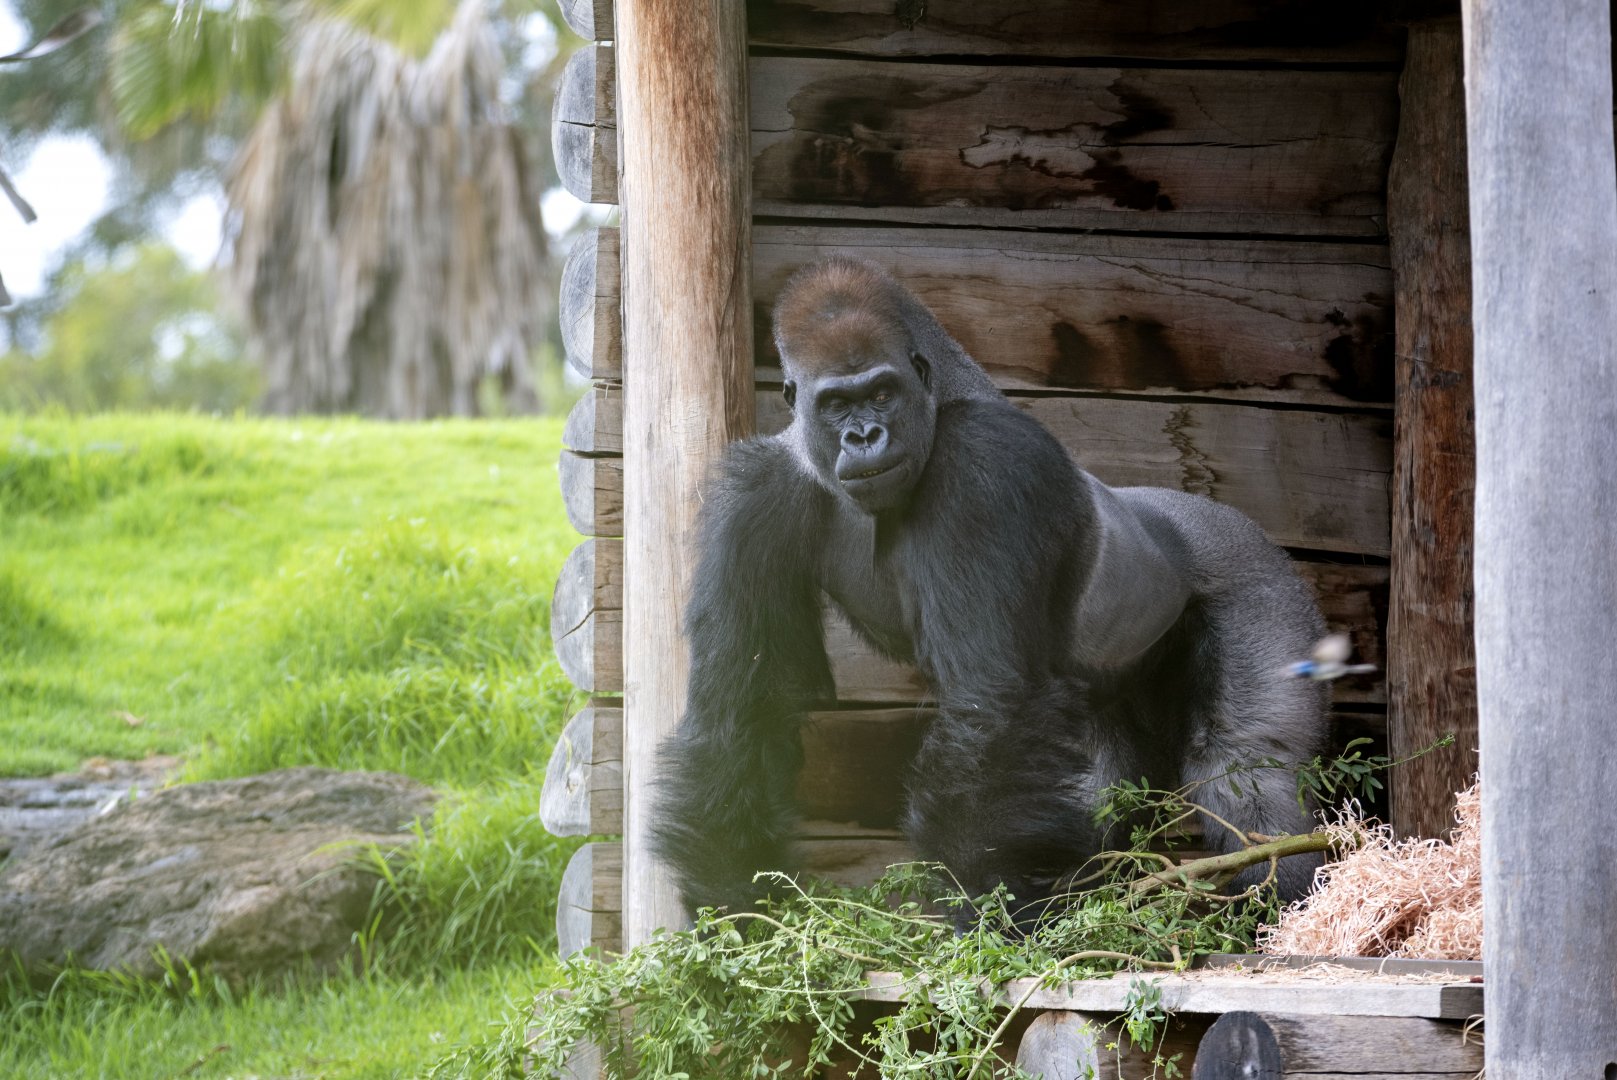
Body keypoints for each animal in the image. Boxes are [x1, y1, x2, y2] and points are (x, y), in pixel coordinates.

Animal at [649, 256, 1329, 922]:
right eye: (837, 404)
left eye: (882, 393)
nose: (864, 436)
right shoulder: (753, 491)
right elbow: (742, 708)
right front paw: (733, 906)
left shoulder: (981, 458)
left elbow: (990, 701)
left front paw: (984, 910)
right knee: (1107, 784)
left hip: (1259, 582)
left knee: (1244, 766)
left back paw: (1280, 901)